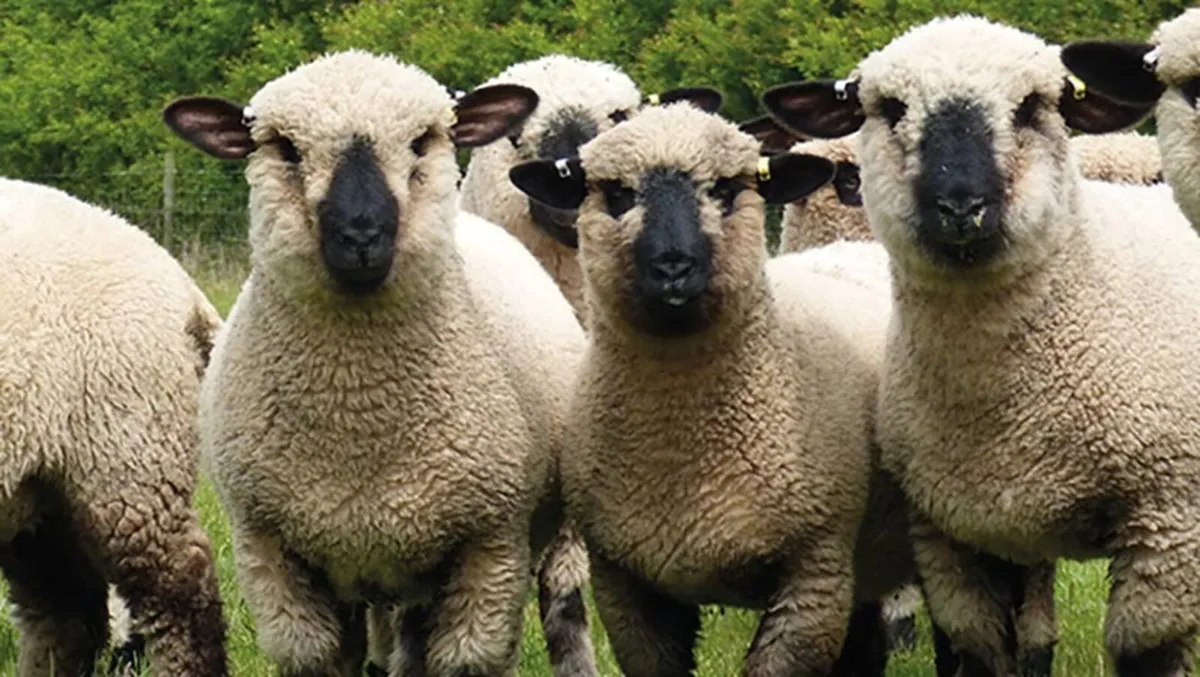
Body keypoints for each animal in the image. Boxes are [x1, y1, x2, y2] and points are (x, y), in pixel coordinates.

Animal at [162, 49, 600, 677]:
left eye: (423, 140)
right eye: (284, 146)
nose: (361, 235)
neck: (359, 411)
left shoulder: (489, 549)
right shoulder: (273, 558)